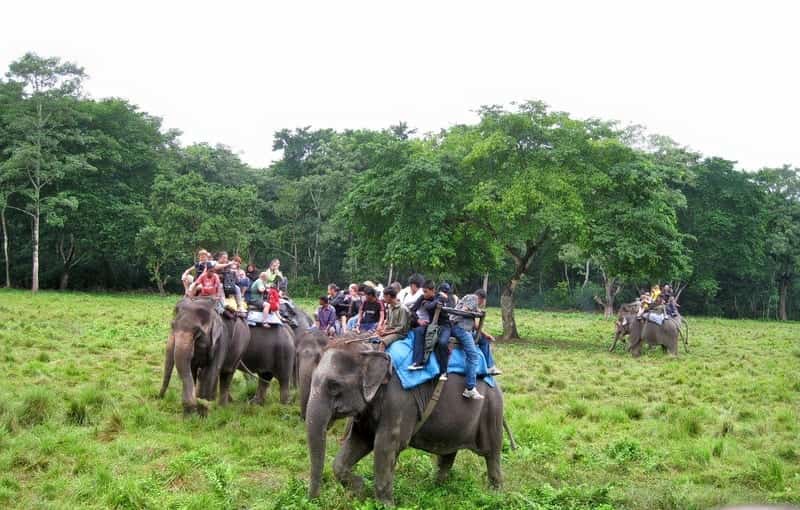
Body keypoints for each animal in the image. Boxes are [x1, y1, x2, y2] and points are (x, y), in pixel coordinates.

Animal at [308, 340, 504, 504]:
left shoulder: (399, 401)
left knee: (491, 454)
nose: (314, 500)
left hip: (491, 411)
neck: (371, 350)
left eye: (334, 385)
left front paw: (385, 505)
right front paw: (360, 488)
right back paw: (436, 488)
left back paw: (496, 495)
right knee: (448, 453)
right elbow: (360, 440)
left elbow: (385, 446)